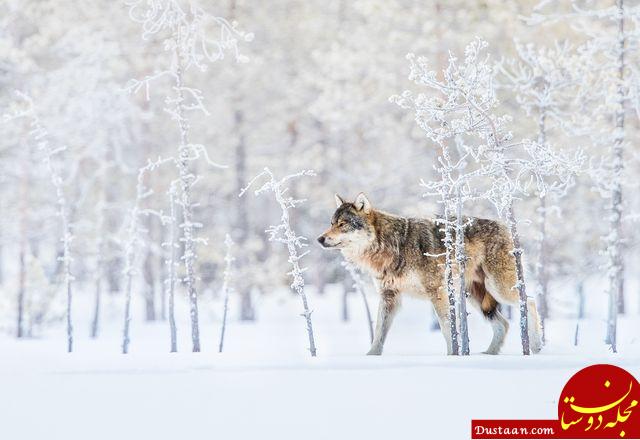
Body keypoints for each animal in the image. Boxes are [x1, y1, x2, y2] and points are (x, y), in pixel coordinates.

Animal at [316, 192, 540, 354]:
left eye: (343, 225)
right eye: (331, 223)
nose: (320, 239)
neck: (393, 247)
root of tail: (504, 226)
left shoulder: (437, 293)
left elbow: (447, 329)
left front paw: (453, 356)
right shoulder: (389, 296)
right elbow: (378, 333)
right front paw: (371, 357)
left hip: (499, 289)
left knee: (530, 302)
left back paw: (537, 346)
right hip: (477, 297)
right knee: (504, 323)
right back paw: (489, 354)